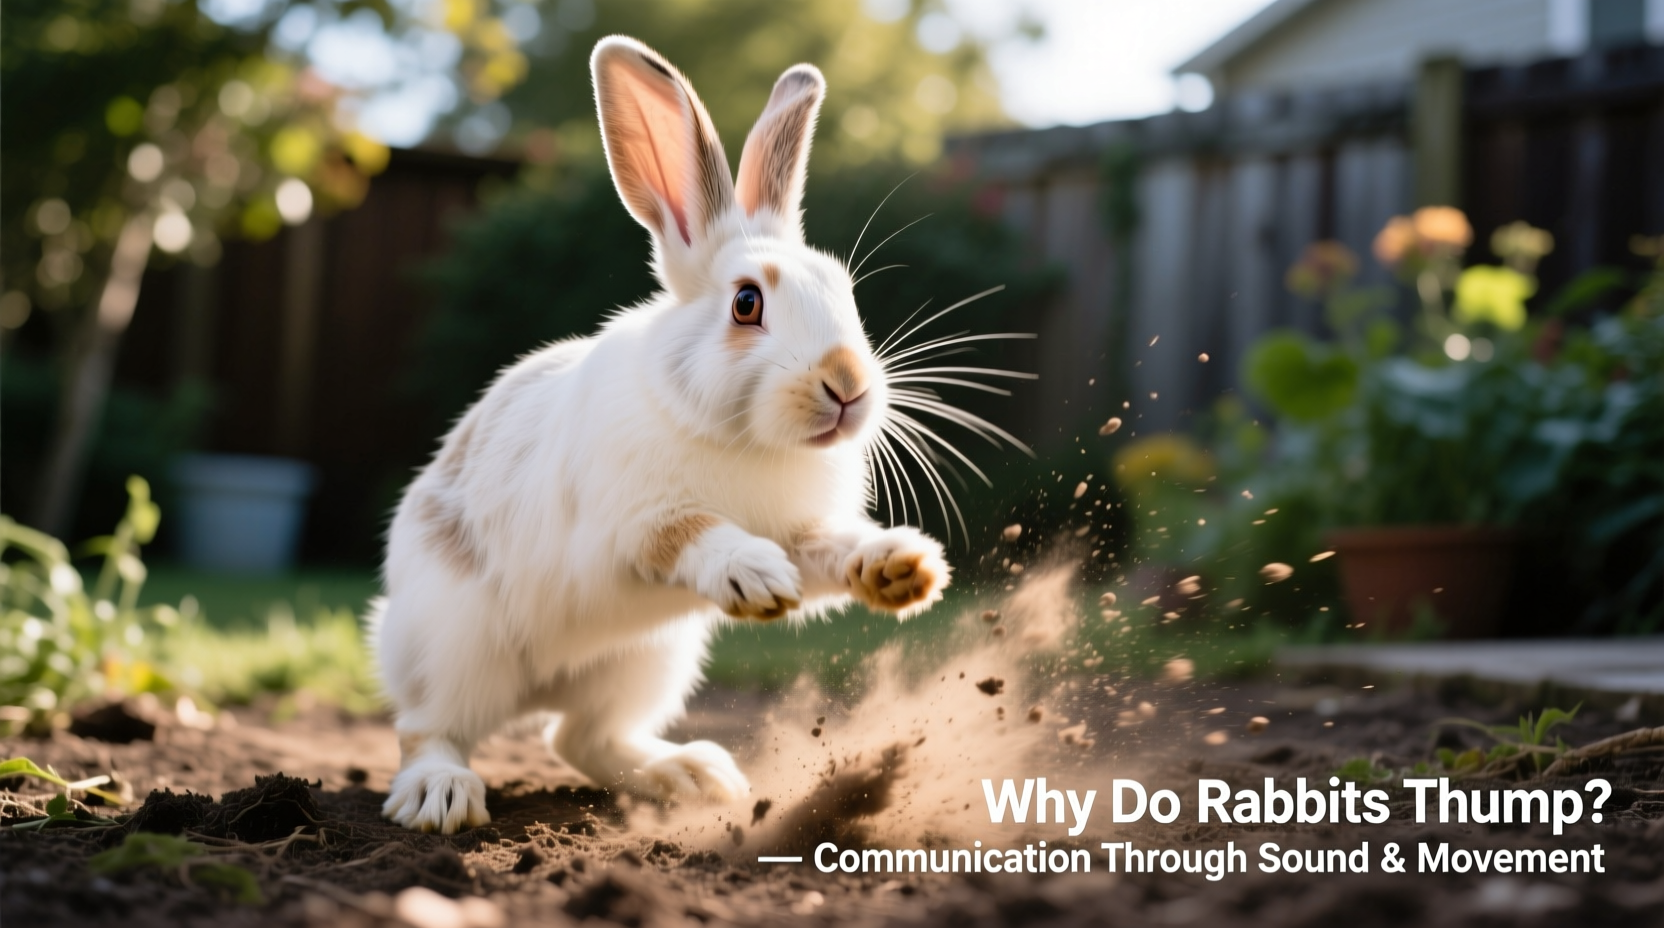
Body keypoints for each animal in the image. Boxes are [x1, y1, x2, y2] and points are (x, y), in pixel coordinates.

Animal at [371, 35, 952, 834]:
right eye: (747, 303)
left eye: (845, 292)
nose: (848, 385)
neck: (747, 441)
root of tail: (535, 690)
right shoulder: (622, 525)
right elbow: (685, 533)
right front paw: (753, 575)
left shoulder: (801, 530)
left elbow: (829, 552)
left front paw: (900, 567)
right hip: (451, 645)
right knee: (428, 728)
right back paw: (442, 795)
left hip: (646, 663)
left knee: (578, 737)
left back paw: (692, 776)